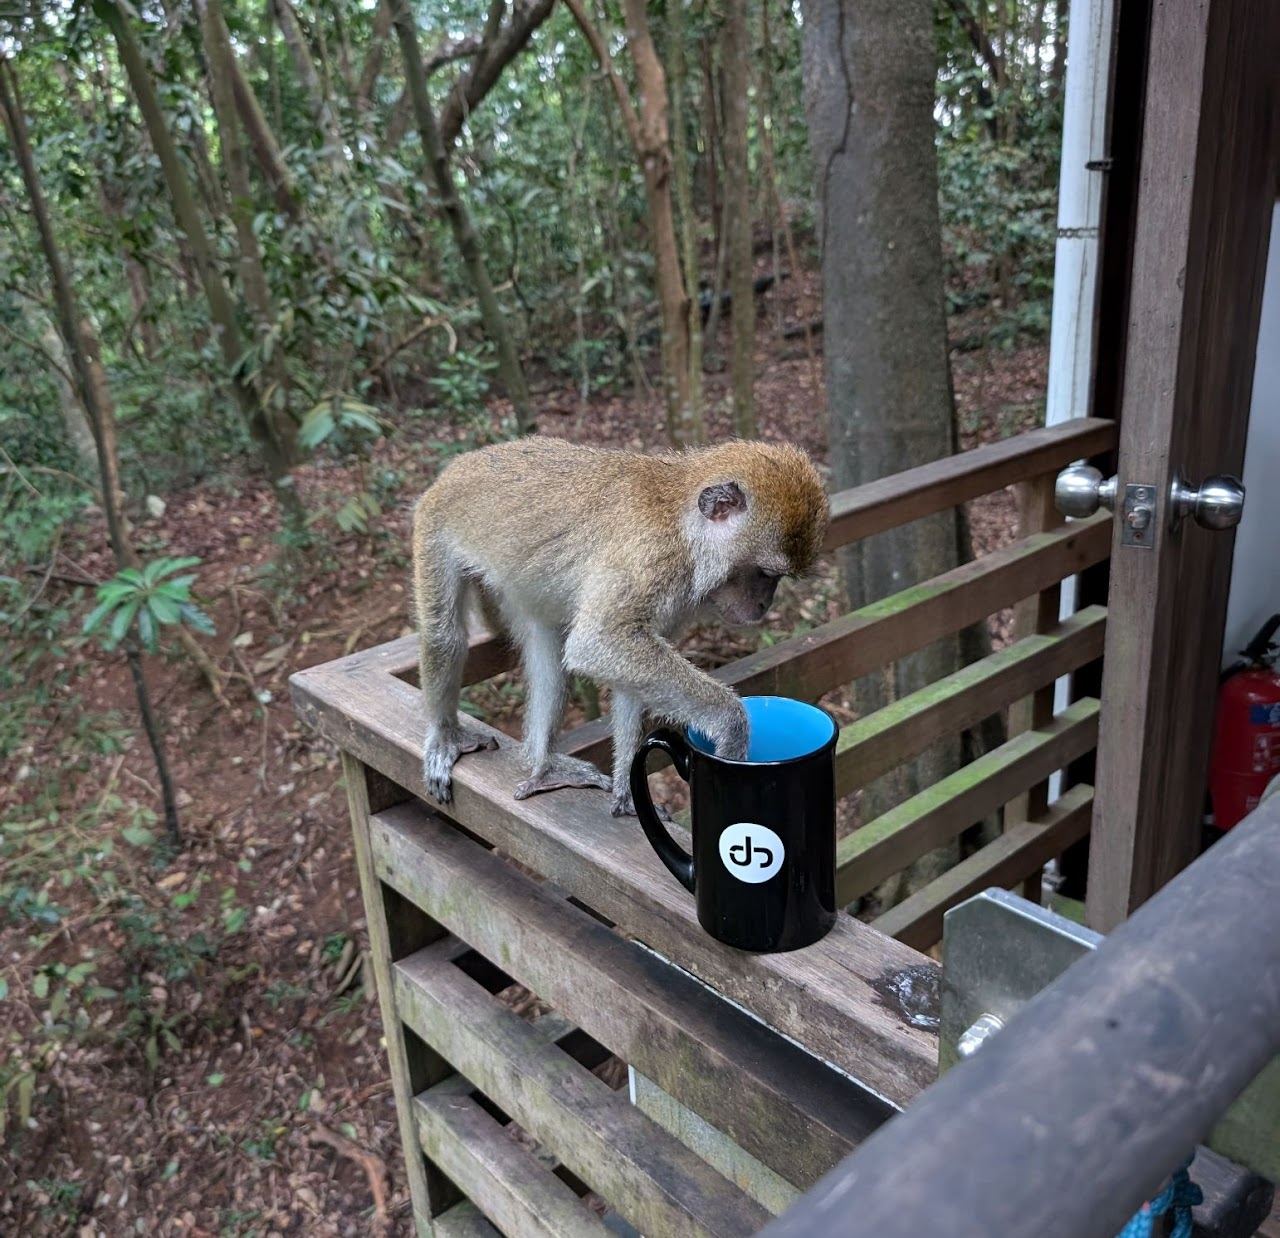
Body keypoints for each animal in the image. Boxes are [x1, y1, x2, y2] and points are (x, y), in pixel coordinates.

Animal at [411, 436, 828, 817]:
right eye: (765, 574)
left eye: (775, 579)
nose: (763, 605)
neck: (681, 525)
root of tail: (458, 467)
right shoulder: (649, 560)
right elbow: (597, 644)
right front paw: (731, 728)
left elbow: (624, 669)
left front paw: (629, 788)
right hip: (432, 526)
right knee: (445, 637)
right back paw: (445, 735)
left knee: (548, 653)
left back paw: (543, 765)